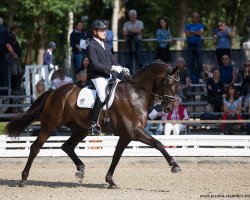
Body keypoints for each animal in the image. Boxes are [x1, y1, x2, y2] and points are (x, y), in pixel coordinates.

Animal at [6, 60, 182, 188]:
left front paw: (110, 181)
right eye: (169, 84)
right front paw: (175, 166)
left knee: (67, 146)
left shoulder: (126, 135)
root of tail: (54, 92)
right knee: (35, 148)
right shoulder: (135, 131)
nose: (168, 108)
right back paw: (23, 179)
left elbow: (116, 156)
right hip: (49, 126)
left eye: (177, 84)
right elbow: (158, 143)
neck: (136, 93)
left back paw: (80, 171)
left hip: (80, 129)